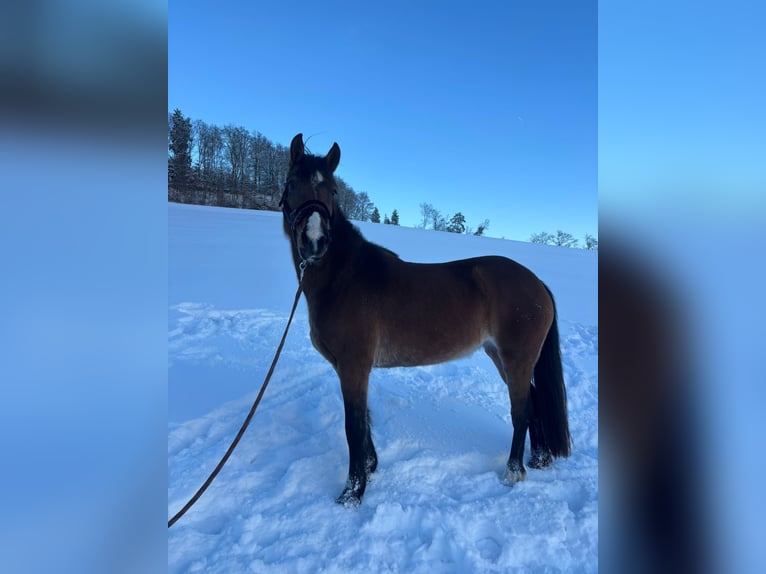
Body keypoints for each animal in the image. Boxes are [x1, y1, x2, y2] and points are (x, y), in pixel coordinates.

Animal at [279, 133, 571, 505]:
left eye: (332, 190)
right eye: (292, 183)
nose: (315, 241)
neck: (343, 276)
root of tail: (537, 283)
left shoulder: (353, 366)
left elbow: (353, 426)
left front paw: (352, 493)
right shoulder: (353, 369)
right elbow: (365, 421)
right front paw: (371, 469)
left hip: (516, 359)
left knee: (521, 411)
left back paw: (513, 472)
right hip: (500, 357)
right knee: (533, 405)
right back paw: (539, 460)